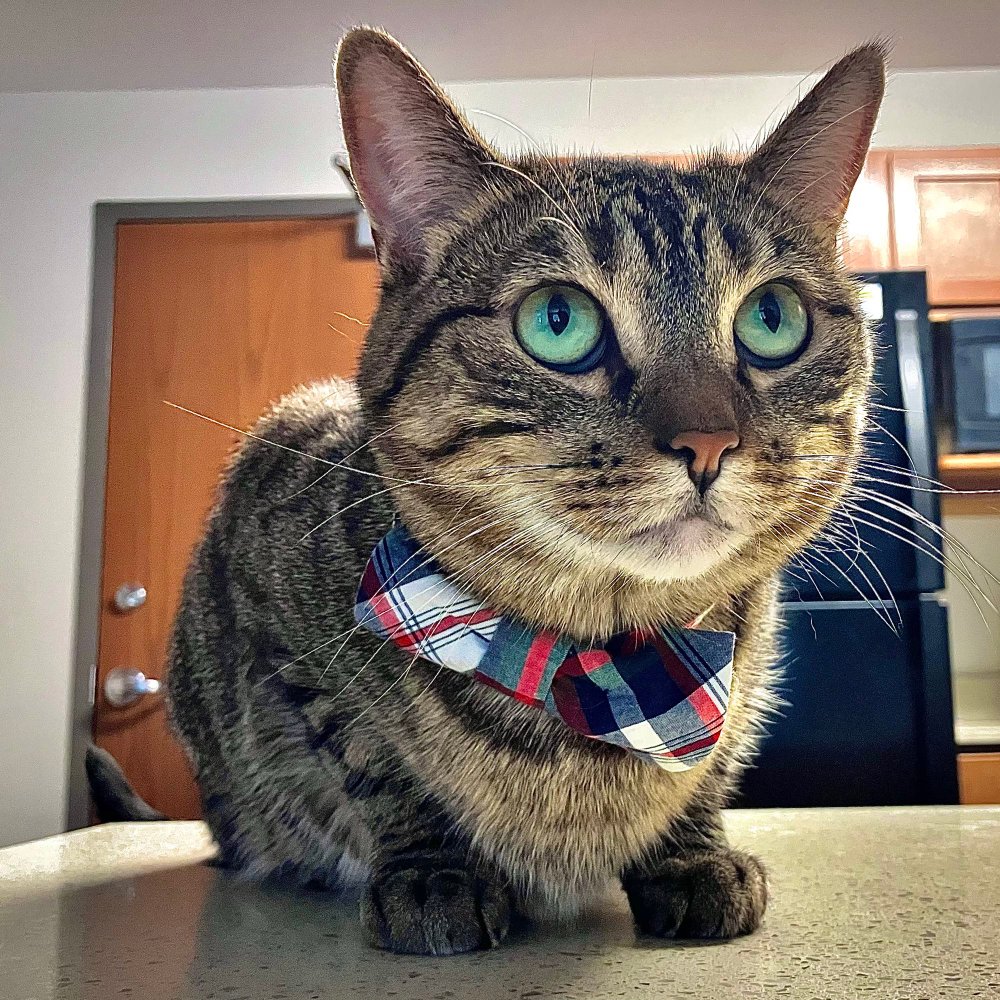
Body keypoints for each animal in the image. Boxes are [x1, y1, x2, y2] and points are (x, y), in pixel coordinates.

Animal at [91, 28, 885, 955]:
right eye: (557, 321)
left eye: (771, 318)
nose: (709, 441)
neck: (601, 664)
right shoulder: (266, 595)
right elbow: (371, 756)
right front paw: (434, 872)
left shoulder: (742, 669)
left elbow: (709, 766)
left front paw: (691, 854)